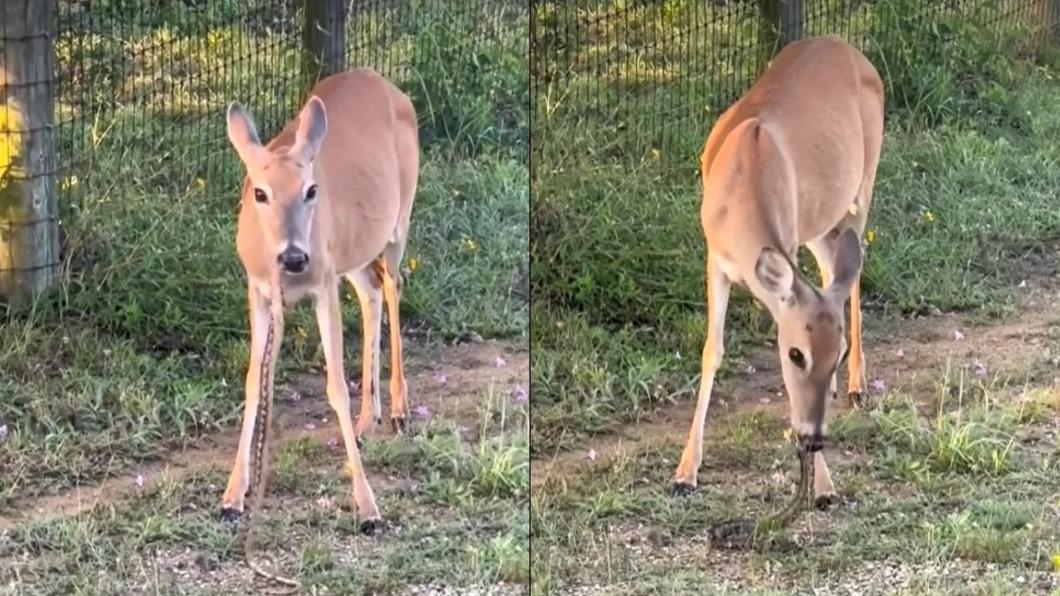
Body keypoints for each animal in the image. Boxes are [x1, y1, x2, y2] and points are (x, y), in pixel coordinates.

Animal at [220, 67, 419, 533]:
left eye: (311, 190)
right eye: (259, 192)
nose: (294, 257)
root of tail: (388, 85)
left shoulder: (323, 283)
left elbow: (335, 387)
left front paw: (368, 508)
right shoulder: (259, 289)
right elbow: (254, 382)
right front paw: (233, 496)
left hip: (398, 219)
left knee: (394, 283)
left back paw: (399, 409)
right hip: (353, 250)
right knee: (371, 289)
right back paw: (368, 420)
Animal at [671, 36, 884, 508]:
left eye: (836, 351)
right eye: (796, 354)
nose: (815, 438)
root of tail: (851, 49)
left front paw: (824, 486)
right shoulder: (715, 258)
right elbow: (712, 350)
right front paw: (684, 472)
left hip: (863, 182)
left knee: (854, 264)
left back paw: (858, 385)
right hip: (818, 221)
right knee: (834, 266)